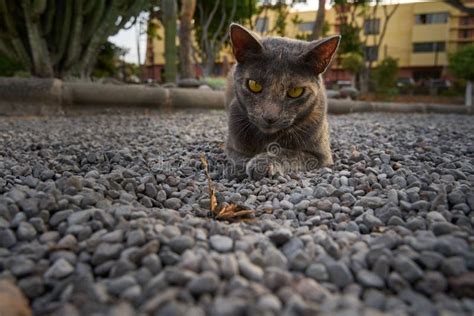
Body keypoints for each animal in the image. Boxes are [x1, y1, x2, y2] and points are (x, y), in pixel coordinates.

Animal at [224, 23, 338, 179]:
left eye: (295, 92)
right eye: (254, 85)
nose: (269, 117)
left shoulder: (321, 155)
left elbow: (291, 153)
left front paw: (262, 163)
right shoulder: (233, 141)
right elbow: (238, 155)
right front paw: (239, 167)